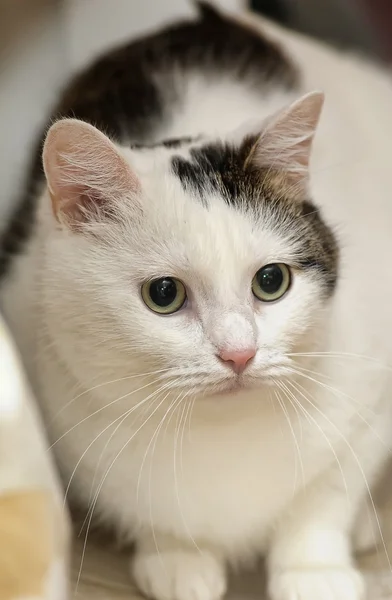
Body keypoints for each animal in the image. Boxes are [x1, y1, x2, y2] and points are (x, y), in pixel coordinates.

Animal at [0, 3, 392, 600]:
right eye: (164, 295)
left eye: (271, 281)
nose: (239, 354)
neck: (223, 436)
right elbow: (148, 510)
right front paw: (176, 557)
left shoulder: (370, 403)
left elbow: (325, 499)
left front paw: (312, 571)